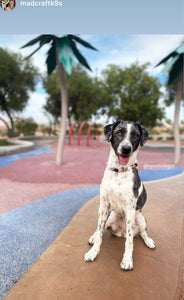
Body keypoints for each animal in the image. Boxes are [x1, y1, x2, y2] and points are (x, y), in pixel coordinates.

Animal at [84, 120, 155, 270]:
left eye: (136, 135)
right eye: (119, 132)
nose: (126, 148)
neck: (119, 171)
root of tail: (120, 233)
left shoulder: (130, 209)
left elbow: (129, 242)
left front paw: (127, 260)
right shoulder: (104, 206)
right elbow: (99, 232)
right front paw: (93, 252)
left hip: (140, 218)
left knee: (142, 233)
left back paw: (149, 241)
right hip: (111, 216)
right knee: (101, 228)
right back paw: (93, 237)